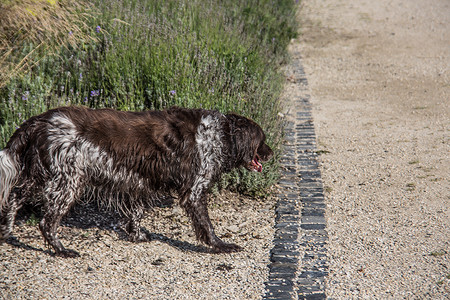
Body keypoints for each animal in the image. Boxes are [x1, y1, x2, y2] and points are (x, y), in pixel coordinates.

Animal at [0, 106, 272, 258]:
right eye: (262, 140)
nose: (271, 153)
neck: (219, 134)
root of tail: (39, 120)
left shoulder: (140, 182)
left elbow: (136, 214)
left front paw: (136, 234)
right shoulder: (194, 191)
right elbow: (207, 226)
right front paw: (220, 246)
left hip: (42, 174)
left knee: (14, 197)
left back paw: (7, 232)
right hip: (68, 181)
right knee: (46, 222)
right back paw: (62, 250)